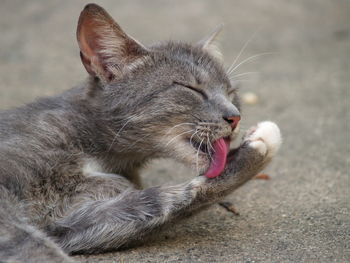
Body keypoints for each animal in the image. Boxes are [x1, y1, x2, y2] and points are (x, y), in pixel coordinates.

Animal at [0, 2, 280, 263]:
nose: (235, 117)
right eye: (191, 88)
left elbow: (157, 203)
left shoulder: (72, 223)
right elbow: (28, 243)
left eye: (231, 93)